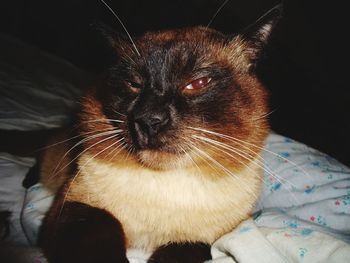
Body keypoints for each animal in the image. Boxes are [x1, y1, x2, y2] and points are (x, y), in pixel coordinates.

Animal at [37, 4, 280, 263]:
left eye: (198, 83)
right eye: (134, 84)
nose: (148, 120)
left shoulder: (198, 240)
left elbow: (177, 252)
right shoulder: (77, 207)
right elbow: (104, 228)